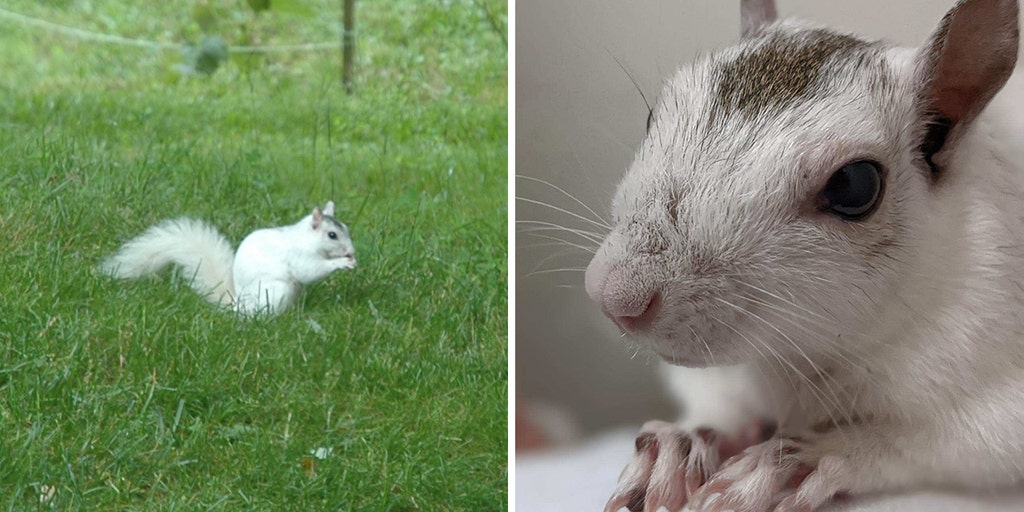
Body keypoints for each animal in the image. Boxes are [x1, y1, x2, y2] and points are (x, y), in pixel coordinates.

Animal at [101, 201, 356, 315]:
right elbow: (309, 270)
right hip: (276, 291)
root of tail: (238, 305)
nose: (352, 252)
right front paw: (342, 263)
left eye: (345, 228)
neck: (306, 238)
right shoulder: (298, 256)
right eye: (332, 235)